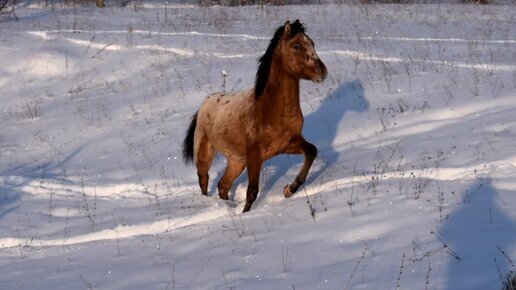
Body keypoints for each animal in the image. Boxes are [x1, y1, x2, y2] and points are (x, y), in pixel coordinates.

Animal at [181, 19, 326, 212]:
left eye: (312, 43)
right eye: (297, 46)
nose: (322, 71)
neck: (273, 110)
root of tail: (204, 104)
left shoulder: (287, 143)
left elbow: (311, 151)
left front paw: (289, 190)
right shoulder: (254, 154)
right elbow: (252, 191)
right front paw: (246, 213)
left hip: (237, 161)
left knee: (223, 185)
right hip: (205, 153)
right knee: (204, 180)